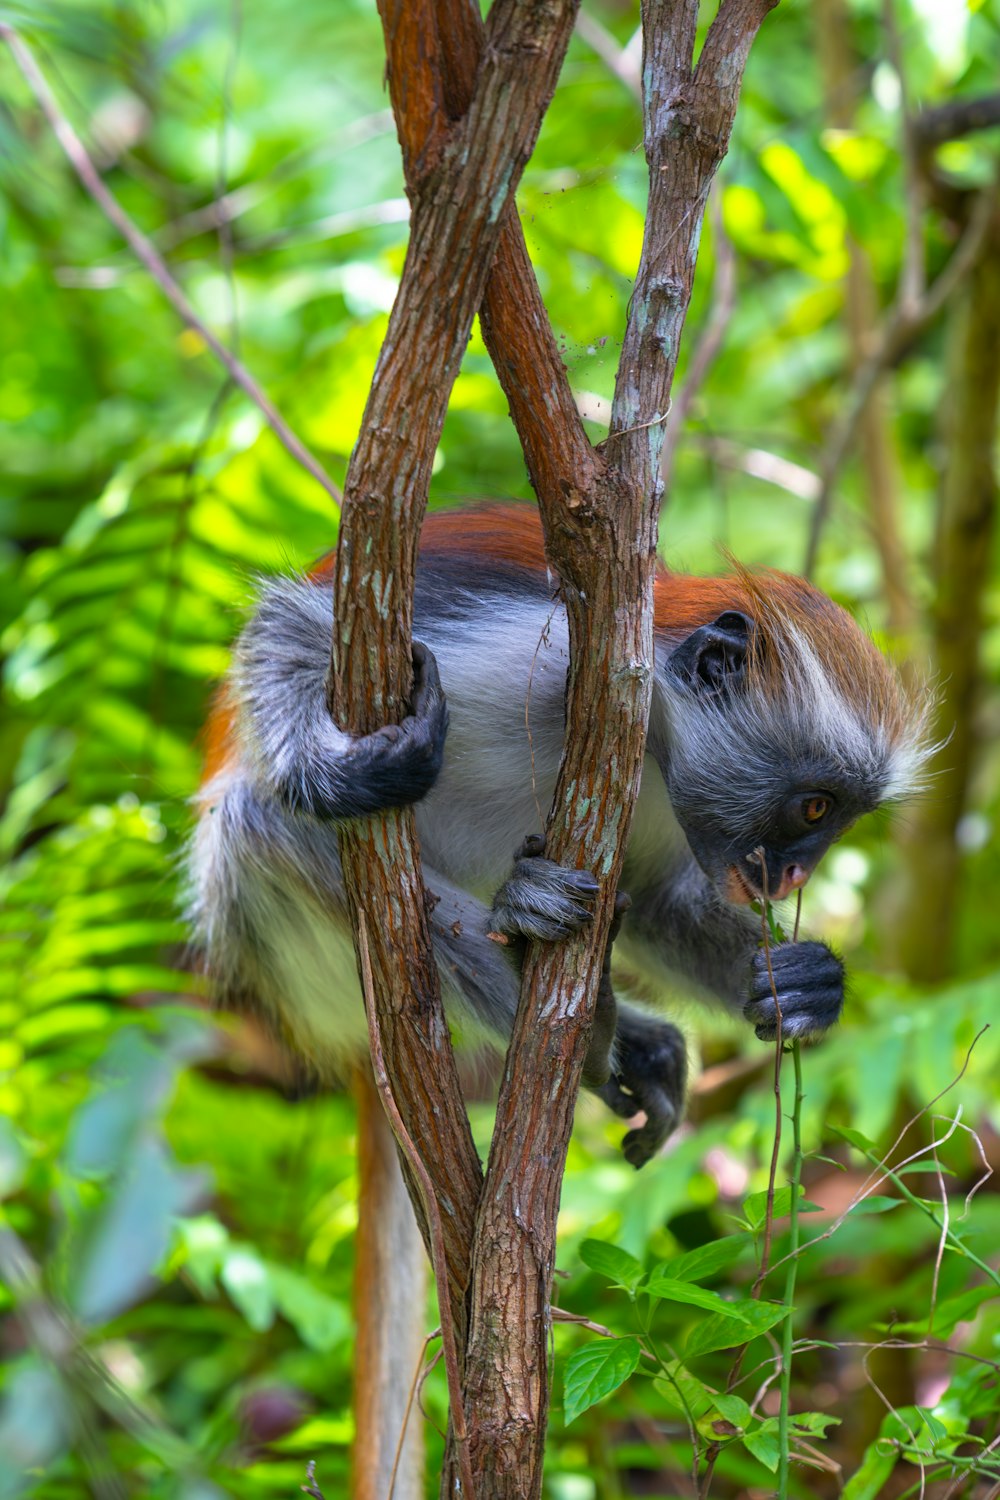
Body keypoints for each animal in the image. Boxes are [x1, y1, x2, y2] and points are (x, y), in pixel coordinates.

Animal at [187, 504, 929, 1170]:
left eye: (837, 820)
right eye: (815, 809)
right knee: (264, 818)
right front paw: (334, 775)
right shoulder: (542, 653)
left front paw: (807, 985)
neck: (649, 732)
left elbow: (655, 902)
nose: (798, 874)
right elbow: (288, 618)